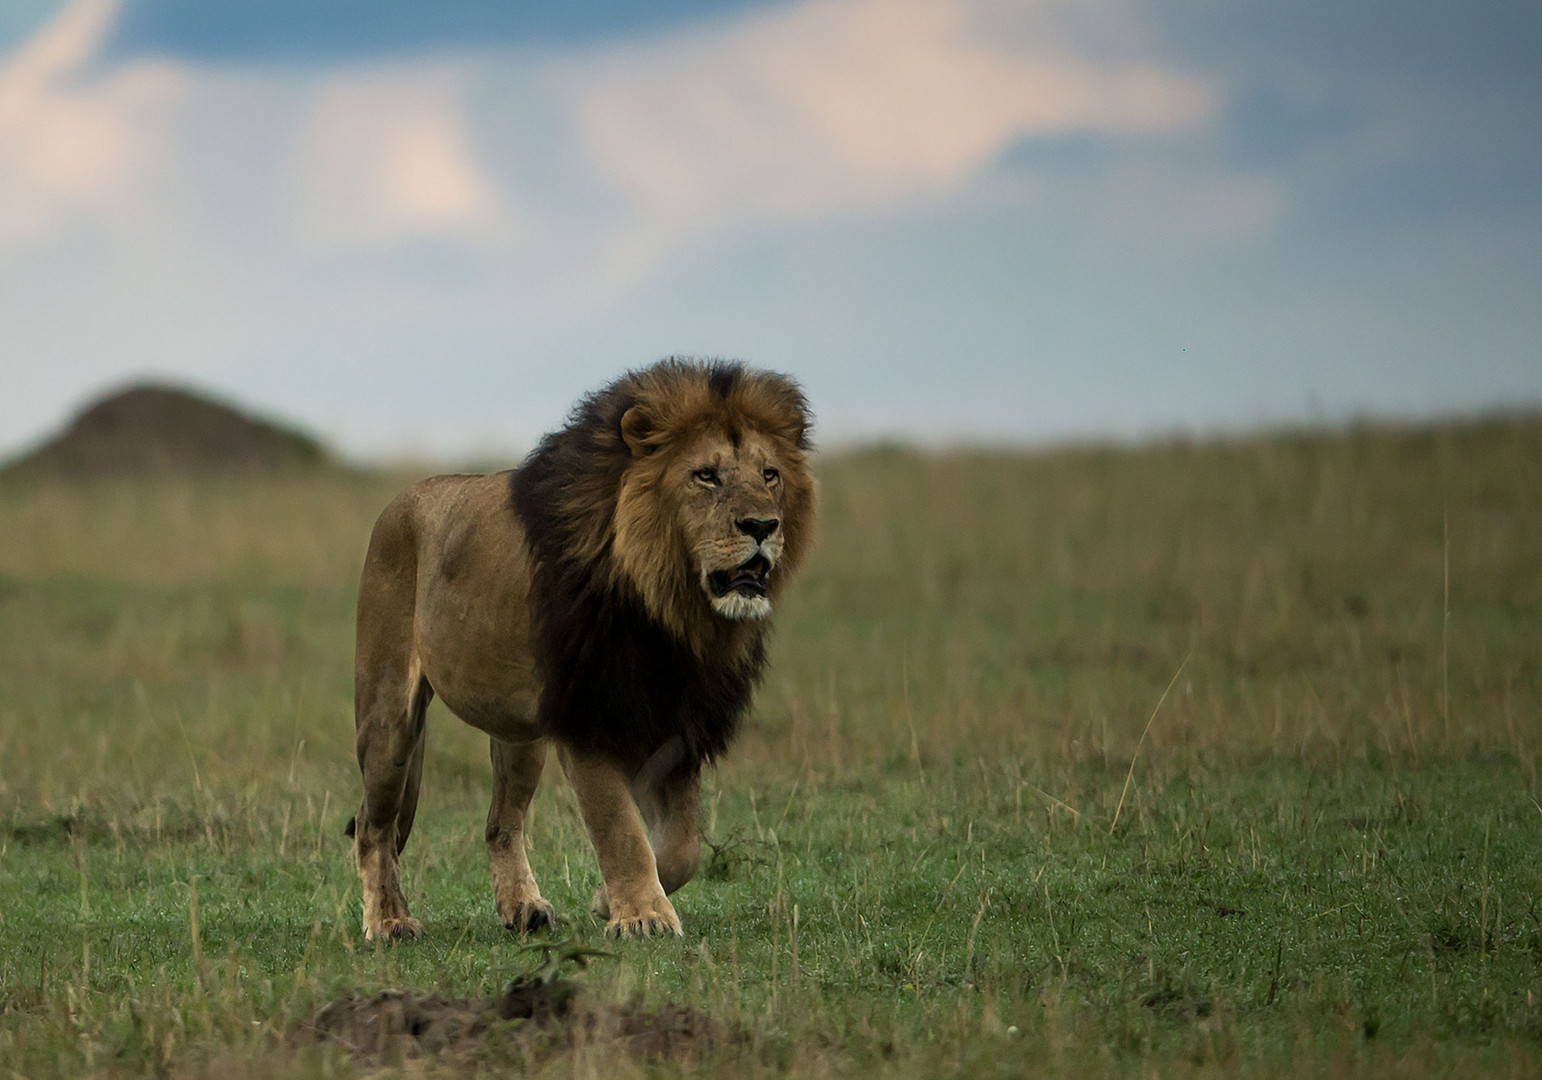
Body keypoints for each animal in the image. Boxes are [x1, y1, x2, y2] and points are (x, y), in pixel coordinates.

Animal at [342, 361, 814, 938]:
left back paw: (522, 908)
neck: (669, 609)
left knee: (500, 823)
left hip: (520, 736)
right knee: (373, 826)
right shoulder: (588, 715)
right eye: (706, 475)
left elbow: (682, 848)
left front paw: (610, 902)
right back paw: (389, 921)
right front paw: (643, 917)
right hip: (389, 717)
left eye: (770, 475)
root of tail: (402, 499)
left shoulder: (676, 721)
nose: (763, 526)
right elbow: (619, 827)